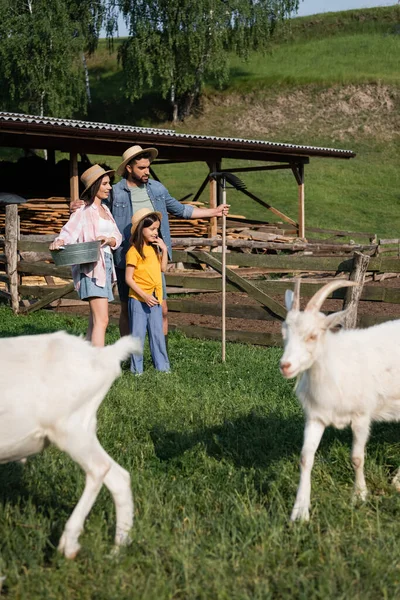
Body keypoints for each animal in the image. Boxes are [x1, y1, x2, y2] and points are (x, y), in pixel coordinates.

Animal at [0, 328, 141, 556]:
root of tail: (105, 356)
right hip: (85, 427)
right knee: (119, 477)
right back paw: (117, 549)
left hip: (69, 428)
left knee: (99, 468)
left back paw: (70, 542)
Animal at [280, 280, 400, 520]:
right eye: (284, 333)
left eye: (313, 335)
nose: (285, 366)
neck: (334, 365)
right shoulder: (316, 416)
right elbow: (305, 458)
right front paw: (300, 510)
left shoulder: (362, 416)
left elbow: (357, 458)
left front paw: (359, 496)